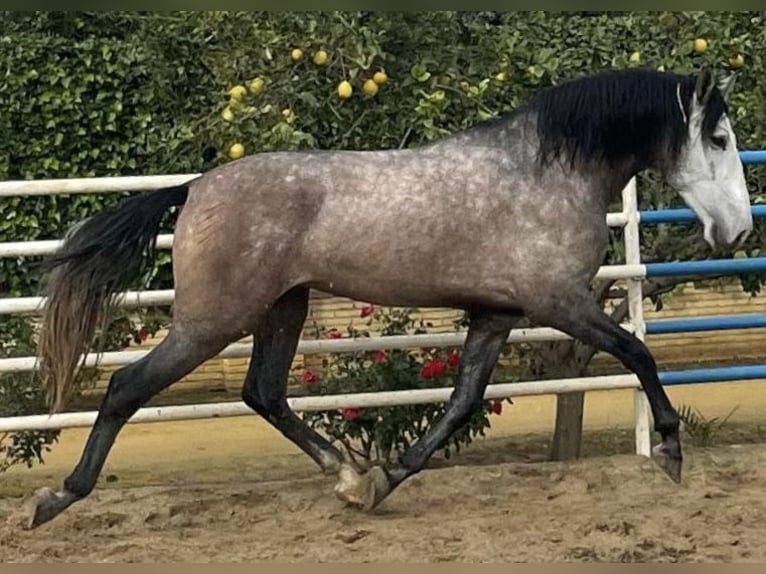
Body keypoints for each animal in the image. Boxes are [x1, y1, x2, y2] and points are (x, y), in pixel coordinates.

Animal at [27, 65, 752, 528]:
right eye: (717, 138)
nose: (739, 230)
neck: (545, 170)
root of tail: (195, 187)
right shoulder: (557, 301)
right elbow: (638, 353)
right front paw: (670, 451)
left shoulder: (497, 315)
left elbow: (459, 405)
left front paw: (383, 481)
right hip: (213, 321)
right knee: (127, 388)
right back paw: (55, 499)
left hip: (282, 309)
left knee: (263, 392)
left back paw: (347, 476)